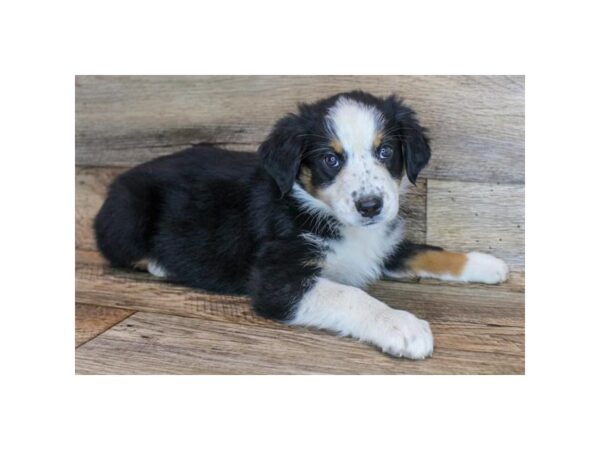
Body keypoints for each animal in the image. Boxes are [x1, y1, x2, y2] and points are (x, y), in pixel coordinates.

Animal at [96, 90, 508, 358]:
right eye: (330, 159)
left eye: (385, 151)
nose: (370, 206)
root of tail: (123, 176)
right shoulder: (276, 281)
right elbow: (350, 295)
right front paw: (401, 325)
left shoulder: (382, 242)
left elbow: (425, 250)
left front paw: (485, 263)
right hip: (128, 215)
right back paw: (161, 264)